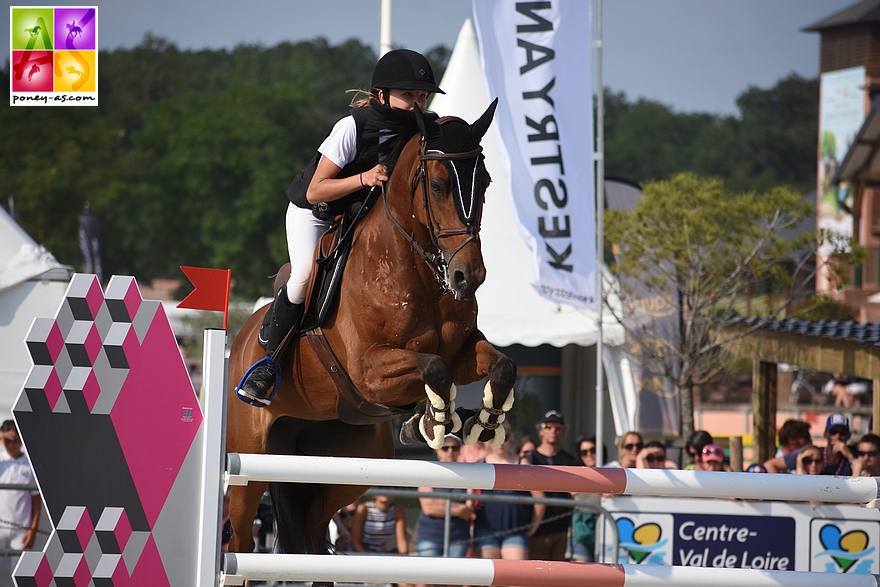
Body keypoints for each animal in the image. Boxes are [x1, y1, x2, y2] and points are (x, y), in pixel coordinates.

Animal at [225, 101, 516, 556]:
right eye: (437, 185)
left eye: (484, 182)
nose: (469, 276)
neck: (416, 269)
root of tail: (239, 340)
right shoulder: (369, 370)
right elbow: (433, 367)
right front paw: (434, 421)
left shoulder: (463, 351)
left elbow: (500, 366)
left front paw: (479, 421)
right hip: (249, 462)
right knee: (238, 537)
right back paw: (259, 380)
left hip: (347, 462)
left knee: (312, 528)